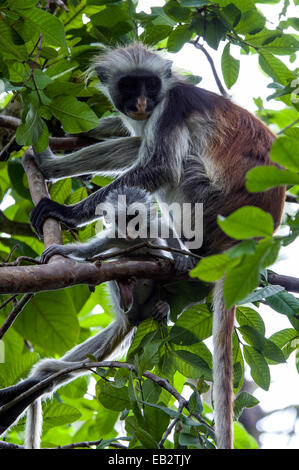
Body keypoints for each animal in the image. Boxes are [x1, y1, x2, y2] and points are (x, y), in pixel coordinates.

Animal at [28, 43, 286, 448]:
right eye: (129, 86)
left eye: (149, 84)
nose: (141, 102)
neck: (162, 97)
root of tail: (248, 242)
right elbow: (128, 133)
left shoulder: (172, 106)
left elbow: (160, 168)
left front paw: (66, 213)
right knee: (137, 143)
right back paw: (51, 166)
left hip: (208, 209)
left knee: (174, 165)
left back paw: (176, 257)